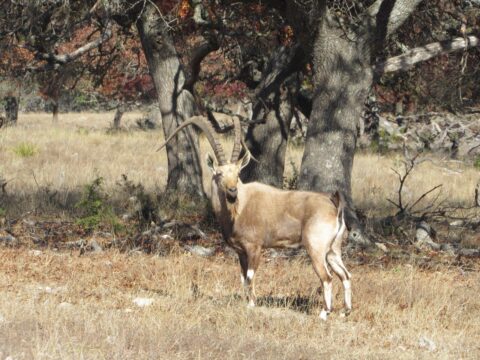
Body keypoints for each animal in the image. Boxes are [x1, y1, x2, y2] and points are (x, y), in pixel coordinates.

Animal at [159, 115, 350, 318]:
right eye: (219, 173)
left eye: (237, 173)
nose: (232, 191)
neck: (240, 207)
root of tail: (334, 205)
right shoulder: (241, 251)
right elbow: (243, 278)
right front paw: (246, 302)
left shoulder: (254, 248)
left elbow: (250, 276)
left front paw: (252, 304)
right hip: (333, 251)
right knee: (345, 275)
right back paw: (345, 311)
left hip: (316, 249)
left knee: (327, 277)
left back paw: (324, 312)